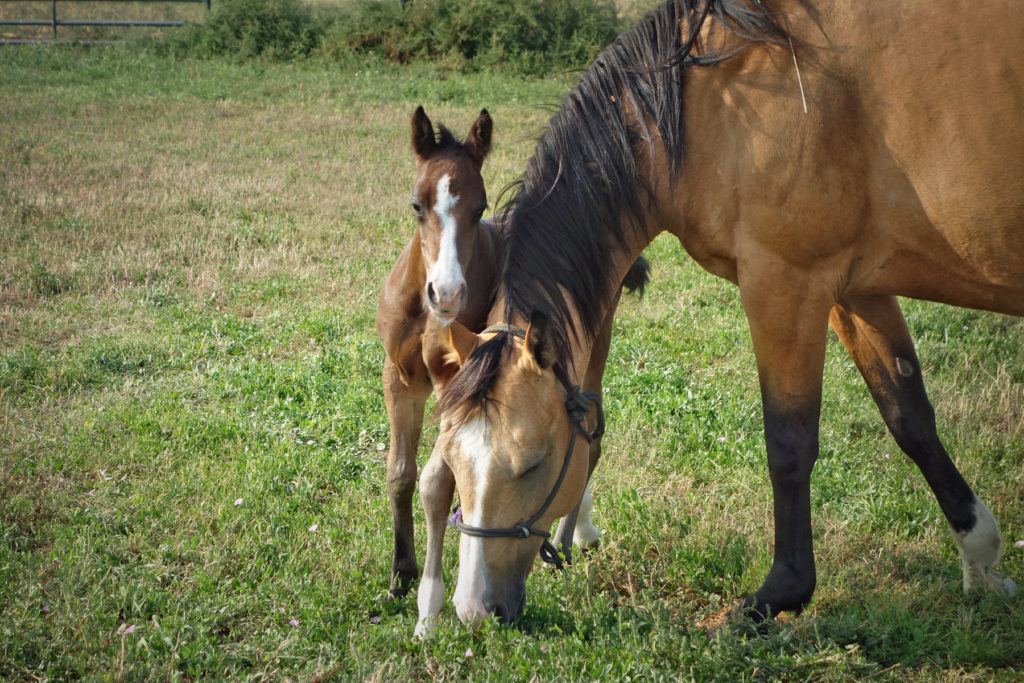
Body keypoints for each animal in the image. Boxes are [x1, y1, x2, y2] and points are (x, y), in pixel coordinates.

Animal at [376, 107, 647, 602]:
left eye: (480, 207)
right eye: (416, 205)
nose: (447, 293)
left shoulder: (463, 387)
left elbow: (441, 479)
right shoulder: (400, 378)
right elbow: (401, 473)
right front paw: (401, 574)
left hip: (591, 341)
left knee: (589, 431)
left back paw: (567, 540)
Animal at [411, 0, 1019, 630]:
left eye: (531, 465)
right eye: (453, 460)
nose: (474, 610)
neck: (709, 99)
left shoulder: (784, 283)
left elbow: (789, 441)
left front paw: (781, 591)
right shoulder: (855, 290)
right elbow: (909, 415)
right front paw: (980, 556)